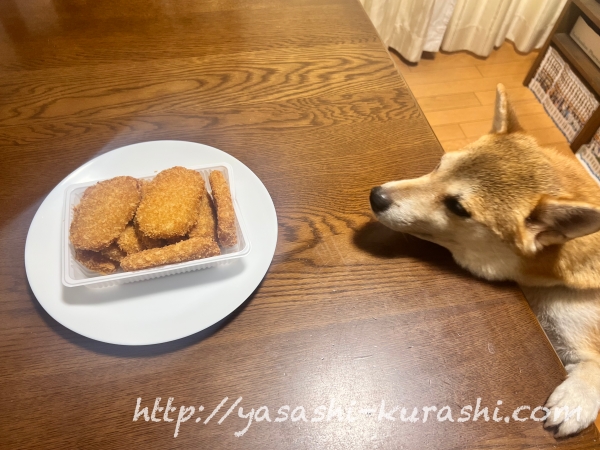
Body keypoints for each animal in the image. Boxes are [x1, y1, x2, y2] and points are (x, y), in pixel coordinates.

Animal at [370, 83, 600, 436]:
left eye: (458, 208)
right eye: (440, 164)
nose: (376, 196)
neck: (540, 281)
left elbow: (594, 364)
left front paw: (579, 400)